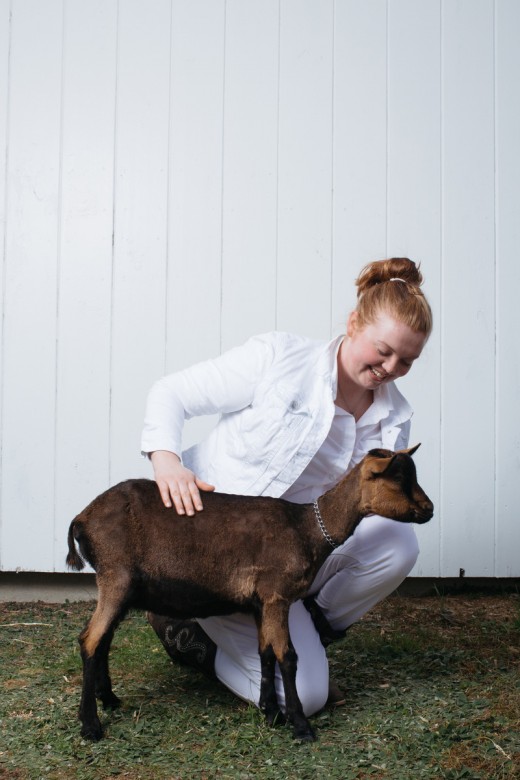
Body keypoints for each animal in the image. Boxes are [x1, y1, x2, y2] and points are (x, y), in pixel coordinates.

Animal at [67, 448, 432, 740]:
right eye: (398, 478)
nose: (428, 509)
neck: (307, 529)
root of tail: (81, 519)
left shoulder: (261, 604)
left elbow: (265, 652)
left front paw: (270, 712)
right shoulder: (277, 596)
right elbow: (288, 657)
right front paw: (300, 725)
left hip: (122, 588)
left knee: (103, 641)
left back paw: (110, 699)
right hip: (116, 578)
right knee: (90, 639)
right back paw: (90, 725)